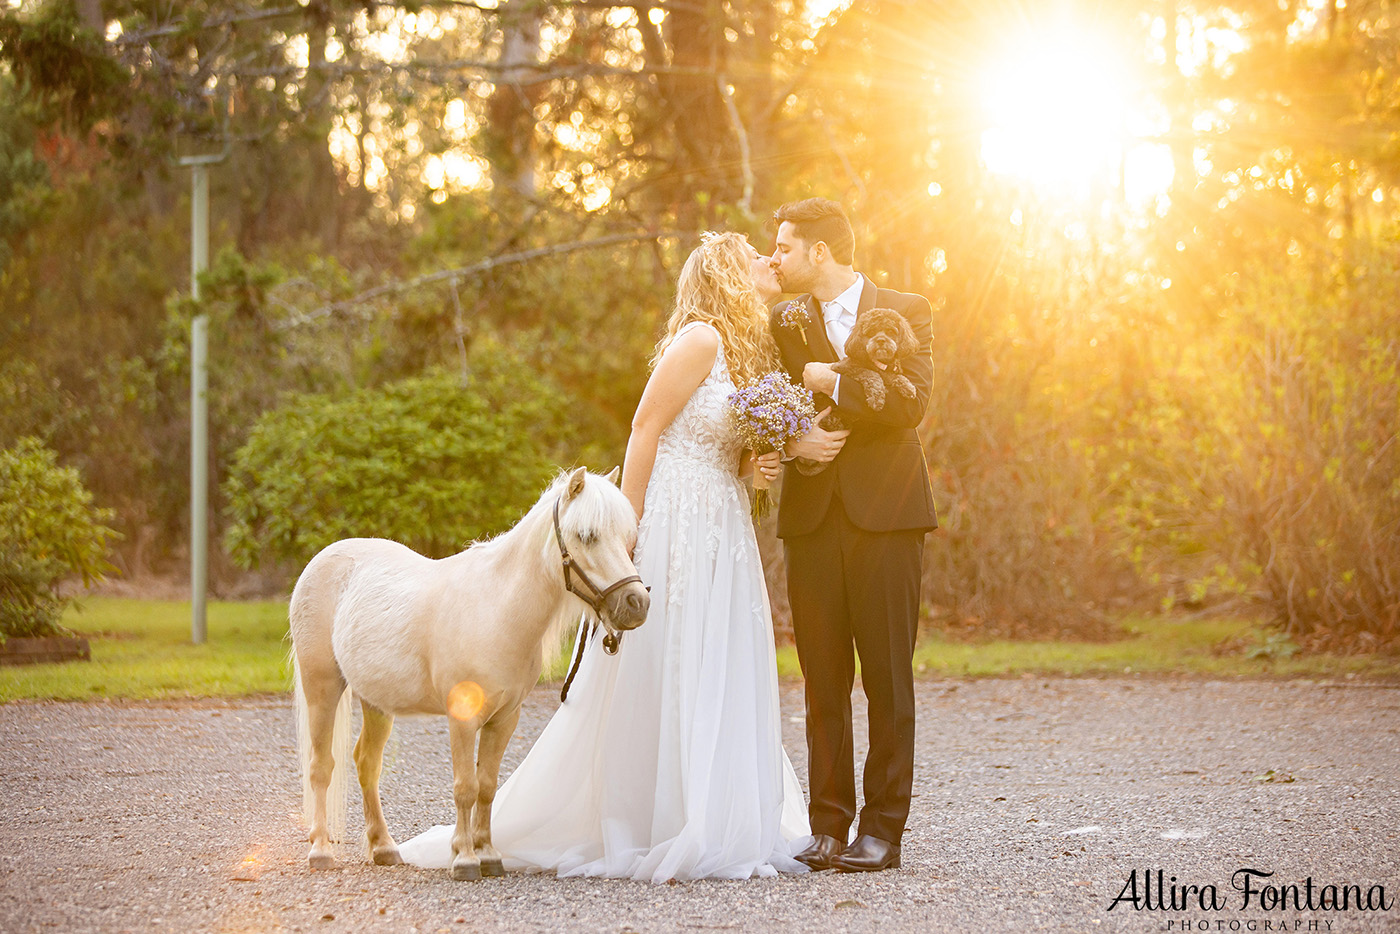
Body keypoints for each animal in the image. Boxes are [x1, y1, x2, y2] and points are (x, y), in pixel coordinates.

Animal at [294, 470, 649, 879]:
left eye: (626, 537)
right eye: (587, 535)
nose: (637, 604)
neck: (497, 609)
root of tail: (324, 559)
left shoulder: (505, 719)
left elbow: (487, 786)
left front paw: (489, 855)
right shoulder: (462, 717)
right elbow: (465, 786)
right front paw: (464, 858)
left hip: (377, 702)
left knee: (367, 764)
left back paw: (384, 847)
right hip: (321, 688)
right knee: (321, 767)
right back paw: (320, 850)